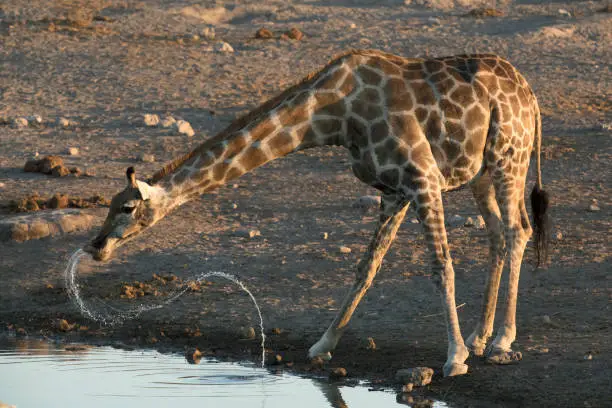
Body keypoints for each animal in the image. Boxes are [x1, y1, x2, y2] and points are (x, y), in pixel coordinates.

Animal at [85, 49, 548, 378]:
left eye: (126, 207)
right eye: (108, 204)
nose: (96, 246)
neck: (334, 115)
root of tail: (531, 96)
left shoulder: (423, 178)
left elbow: (441, 267)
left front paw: (454, 359)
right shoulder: (393, 192)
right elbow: (366, 268)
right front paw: (323, 346)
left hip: (509, 157)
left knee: (518, 230)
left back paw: (501, 341)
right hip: (480, 172)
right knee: (497, 233)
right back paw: (481, 336)